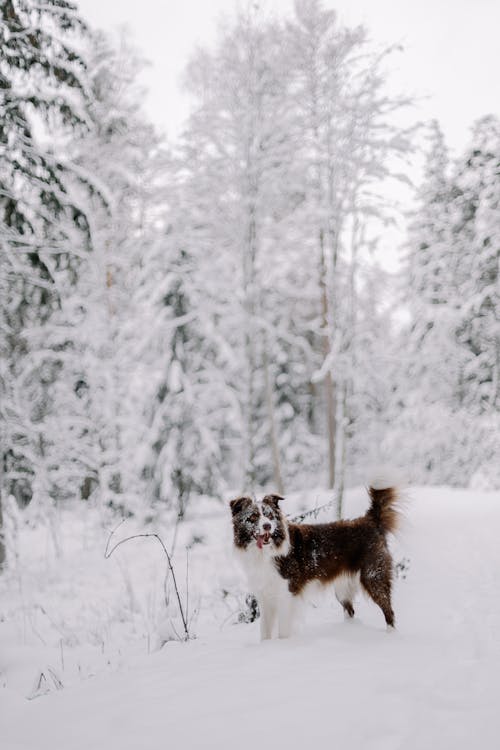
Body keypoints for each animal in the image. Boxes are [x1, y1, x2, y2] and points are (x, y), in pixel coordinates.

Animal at [230, 488, 402, 640]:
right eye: (252, 518)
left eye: (269, 516)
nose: (267, 526)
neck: (266, 552)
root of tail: (370, 520)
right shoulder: (265, 596)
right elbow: (264, 632)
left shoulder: (287, 594)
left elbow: (283, 630)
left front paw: (283, 645)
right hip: (342, 588)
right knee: (351, 611)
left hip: (373, 576)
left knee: (389, 609)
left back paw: (391, 636)